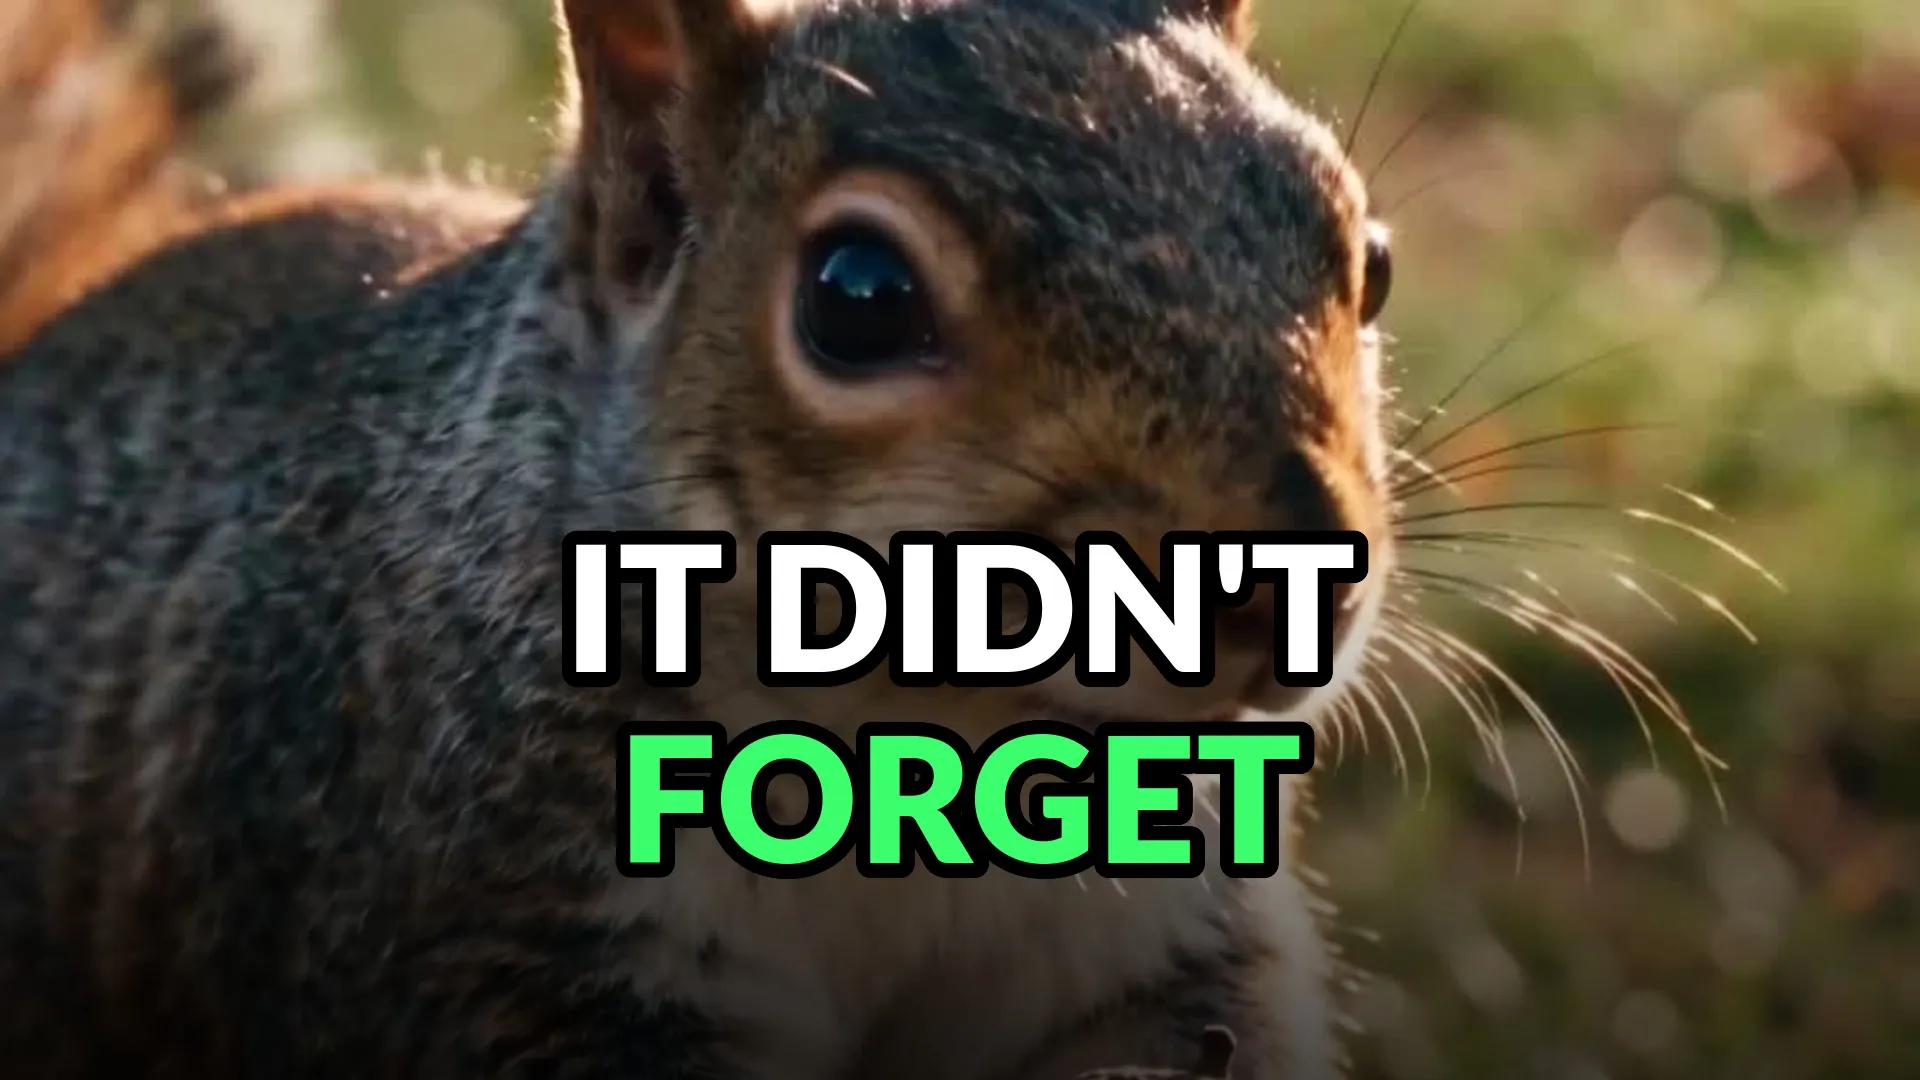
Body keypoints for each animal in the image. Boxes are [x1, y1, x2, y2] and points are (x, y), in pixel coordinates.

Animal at [0, 0, 1398, 1077]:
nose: (1298, 585)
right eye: (858, 298)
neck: (923, 746)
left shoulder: (1157, 933)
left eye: (1370, 260)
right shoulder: (499, 947)